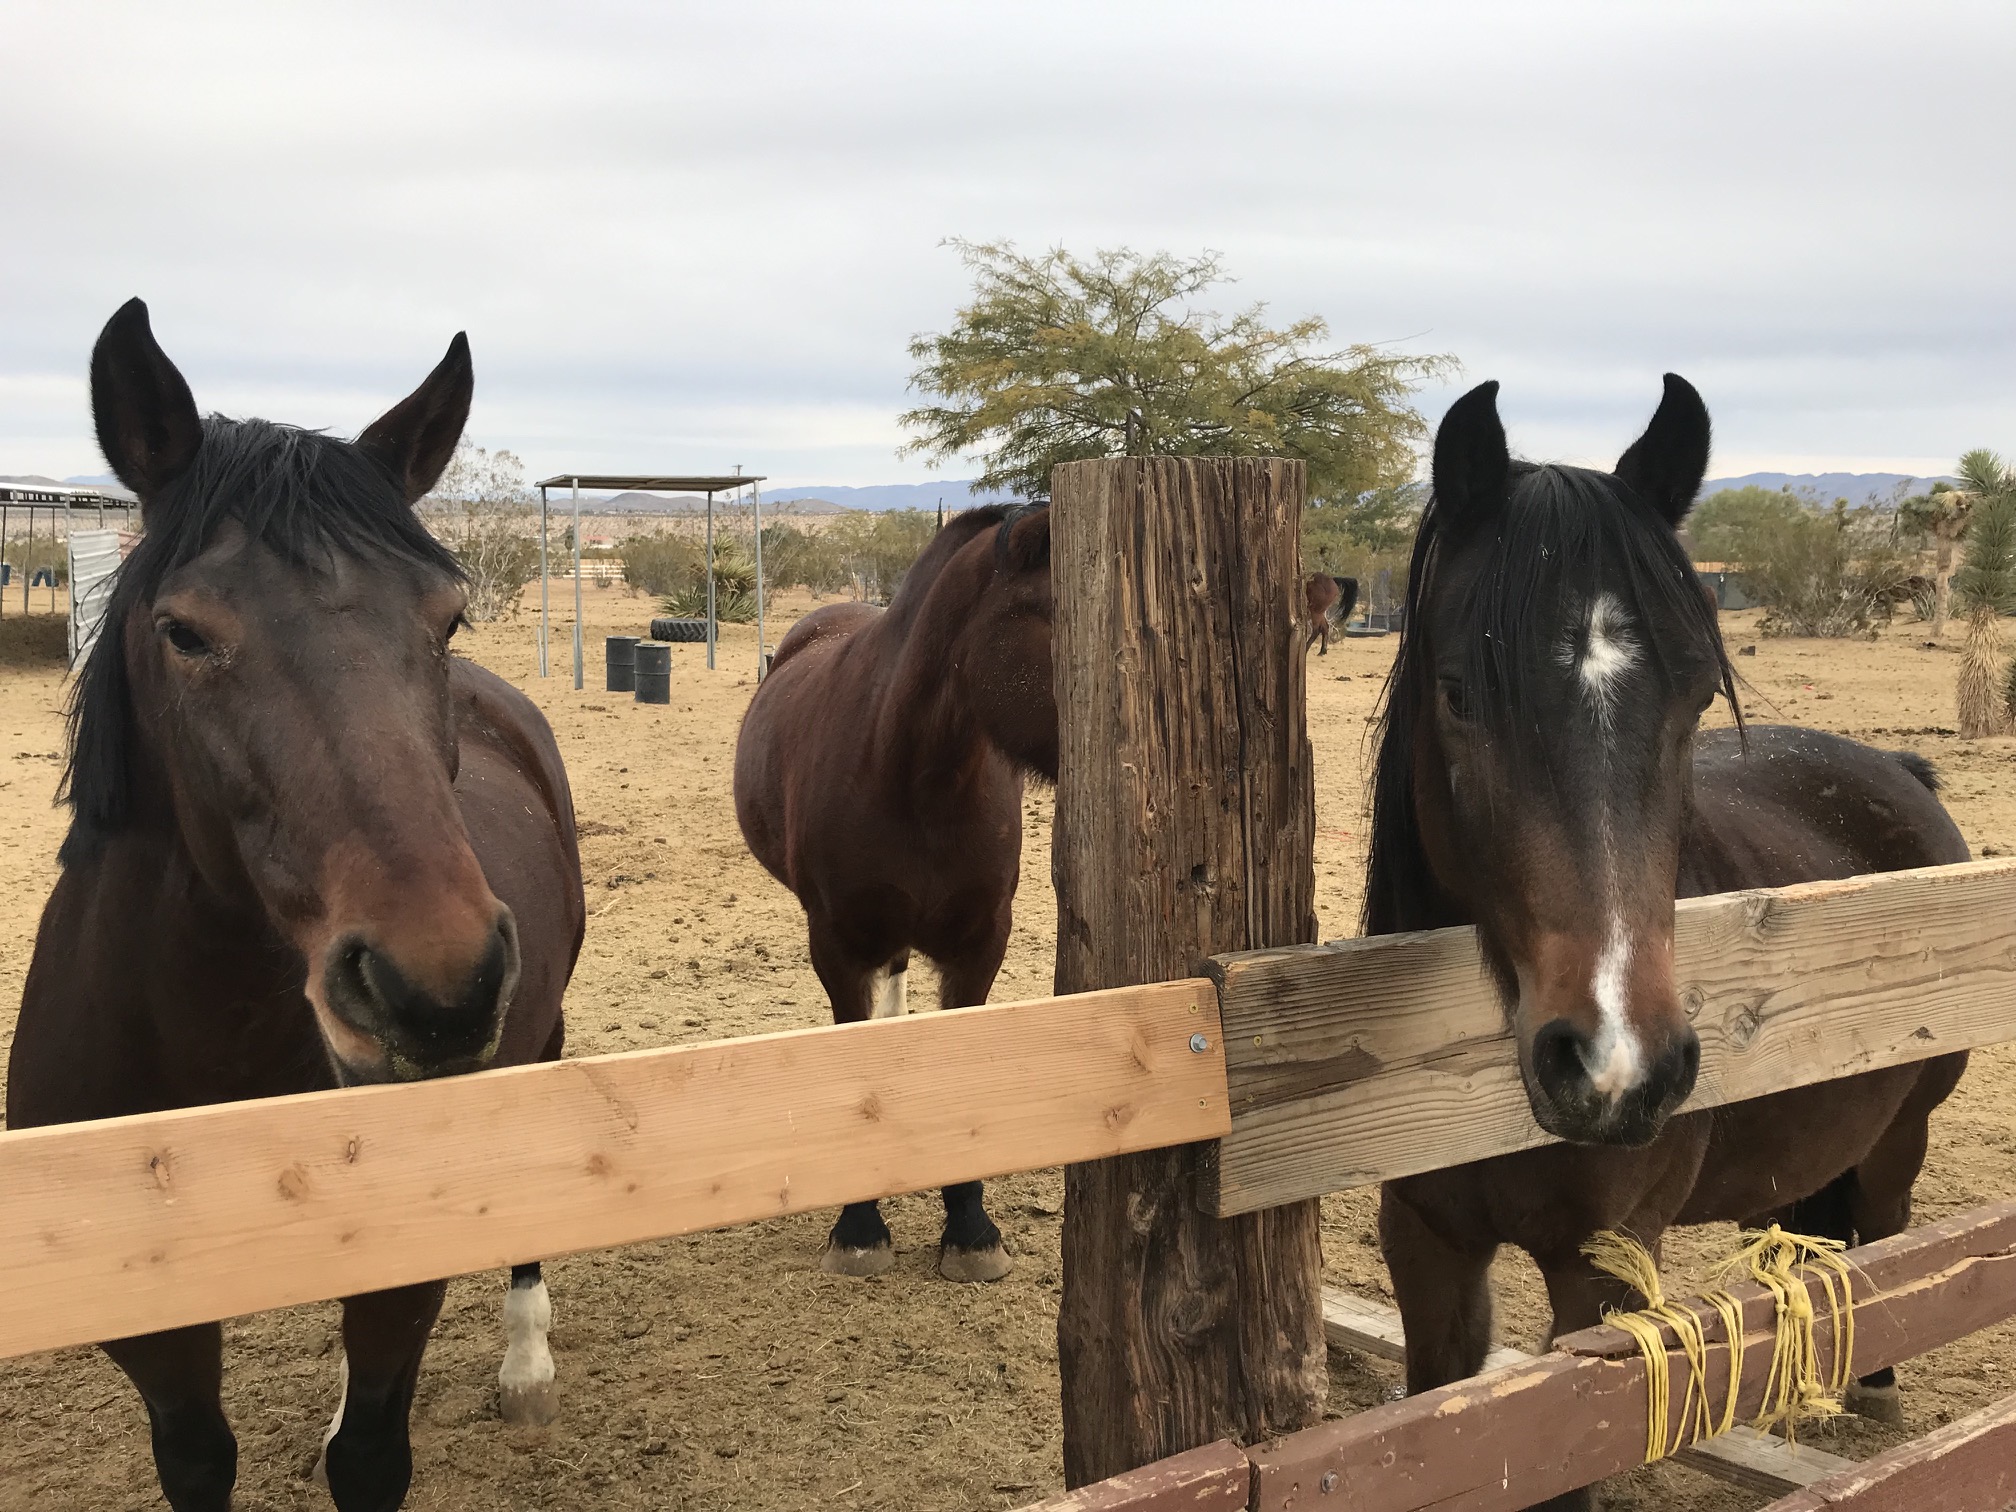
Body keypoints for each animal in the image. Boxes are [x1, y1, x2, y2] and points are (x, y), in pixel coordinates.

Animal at [7, 302, 588, 1512]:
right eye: (184, 632)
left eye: (447, 620)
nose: (438, 988)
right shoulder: (156, 1332)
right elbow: (199, 1458)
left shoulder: (402, 1278)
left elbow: (370, 1455)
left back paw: (526, 1365)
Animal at [1370, 372, 1967, 1507]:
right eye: (1460, 694)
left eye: (1696, 693)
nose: (1617, 1067)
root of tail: (1900, 773)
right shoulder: (1427, 1250)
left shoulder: (1599, 1283)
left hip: (1899, 1138)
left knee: (1885, 1237)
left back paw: (1873, 1381)